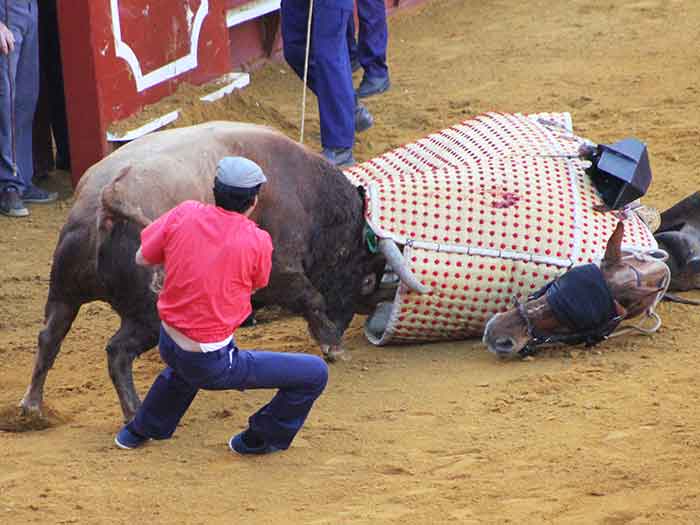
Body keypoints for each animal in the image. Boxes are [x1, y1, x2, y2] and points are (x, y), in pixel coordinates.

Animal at [20, 121, 426, 420]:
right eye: (367, 278)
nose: (345, 325)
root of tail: (107, 199)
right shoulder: (280, 266)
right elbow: (309, 297)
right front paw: (332, 345)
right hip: (149, 314)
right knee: (117, 351)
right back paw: (133, 410)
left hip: (63, 293)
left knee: (49, 339)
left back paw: (32, 407)